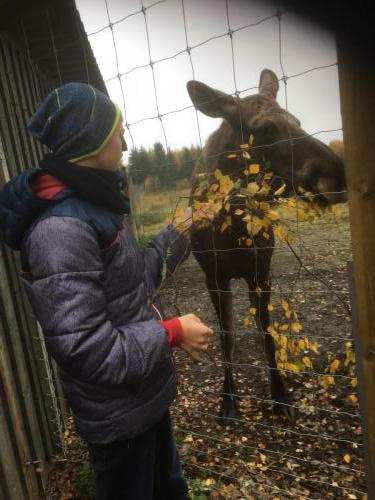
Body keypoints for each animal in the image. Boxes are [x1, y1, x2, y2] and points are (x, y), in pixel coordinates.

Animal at [187, 69, 348, 422]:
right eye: (264, 129)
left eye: (298, 120)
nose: (339, 174)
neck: (232, 231)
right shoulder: (213, 276)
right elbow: (227, 337)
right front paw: (228, 400)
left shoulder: (261, 271)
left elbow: (267, 334)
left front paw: (281, 396)